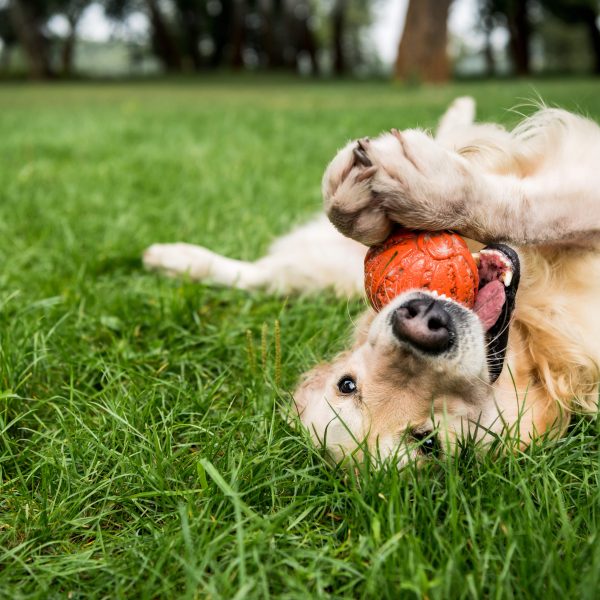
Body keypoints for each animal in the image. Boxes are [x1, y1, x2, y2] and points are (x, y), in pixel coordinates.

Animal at [144, 97, 600, 464]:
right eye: (427, 441)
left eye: (346, 385)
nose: (422, 322)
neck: (537, 338)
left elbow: (530, 210)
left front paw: (417, 188)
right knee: (265, 275)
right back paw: (173, 260)